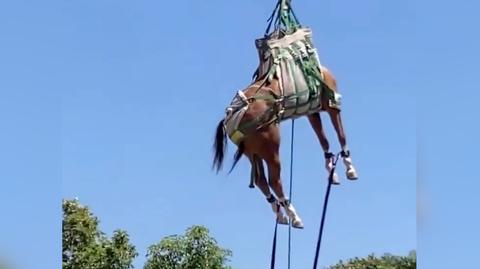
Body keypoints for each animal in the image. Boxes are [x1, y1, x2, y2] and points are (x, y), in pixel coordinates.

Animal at [213, 66, 356, 227]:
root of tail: (230, 118)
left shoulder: (312, 112)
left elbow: (323, 140)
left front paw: (332, 169)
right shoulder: (331, 105)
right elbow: (341, 134)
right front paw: (349, 167)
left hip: (252, 152)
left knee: (260, 180)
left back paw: (280, 213)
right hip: (270, 147)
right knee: (274, 180)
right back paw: (294, 216)